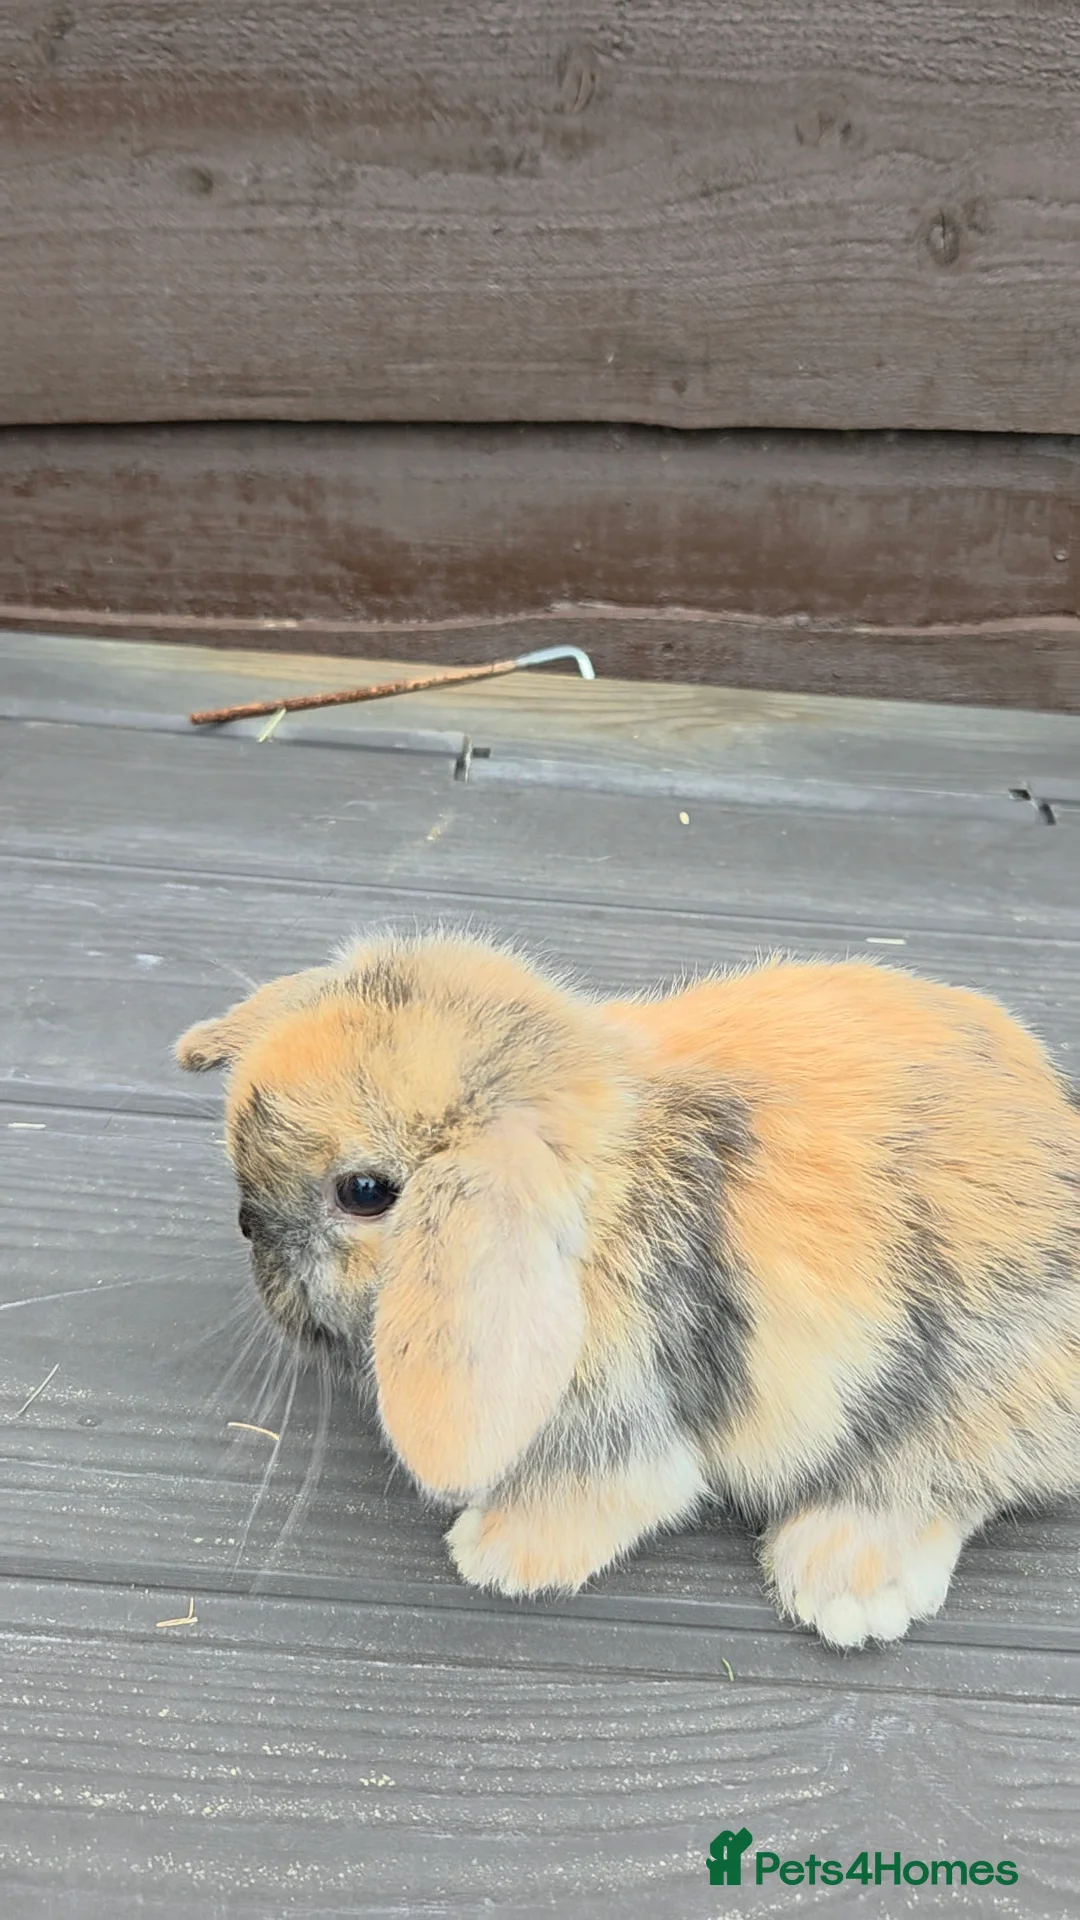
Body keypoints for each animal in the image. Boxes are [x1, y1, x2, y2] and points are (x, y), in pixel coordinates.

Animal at [175, 929, 1080, 1649]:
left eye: (363, 1193)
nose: (249, 1228)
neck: (601, 1203)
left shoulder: (620, 1410)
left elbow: (622, 1488)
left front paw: (495, 1553)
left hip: (965, 1389)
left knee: (944, 1479)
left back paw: (844, 1581)